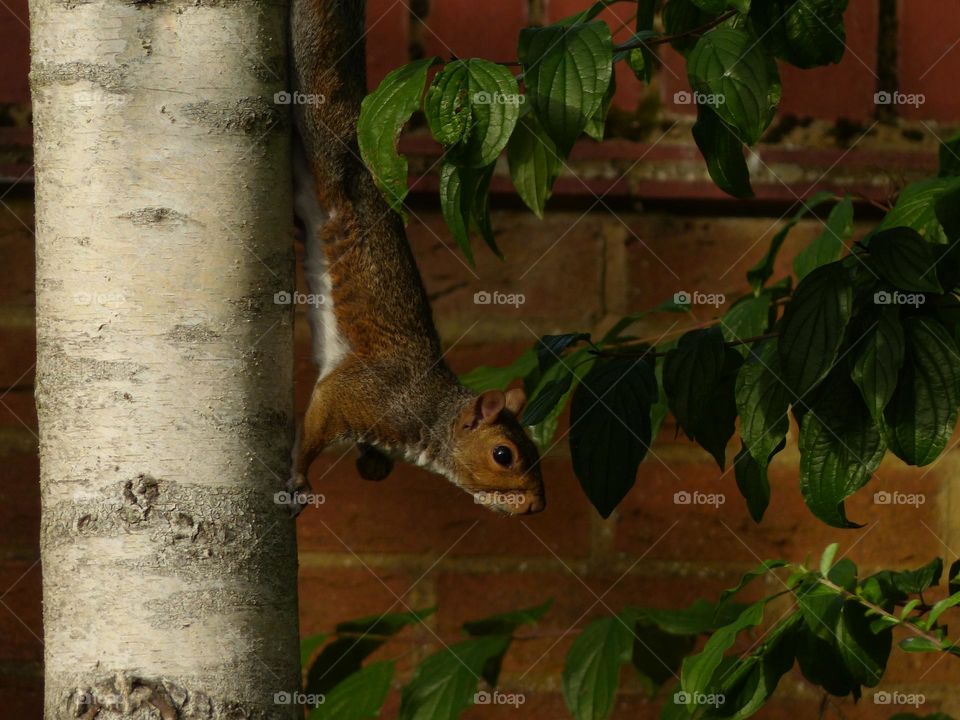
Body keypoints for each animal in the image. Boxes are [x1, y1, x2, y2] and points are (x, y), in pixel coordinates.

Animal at [287, 0, 545, 516]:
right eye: (502, 454)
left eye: (535, 448)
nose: (536, 506)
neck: (430, 414)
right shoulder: (359, 393)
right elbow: (318, 418)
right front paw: (300, 477)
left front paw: (372, 466)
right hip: (326, 148)